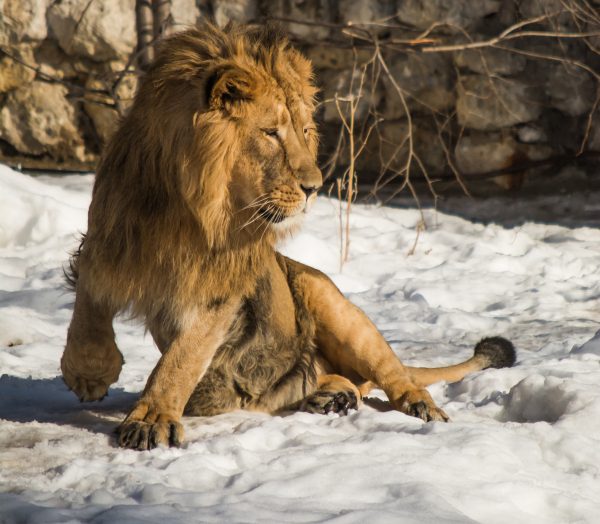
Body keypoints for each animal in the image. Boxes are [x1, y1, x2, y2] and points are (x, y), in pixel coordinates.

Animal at [62, 23, 516, 450]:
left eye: (304, 131)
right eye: (271, 132)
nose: (315, 187)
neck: (184, 208)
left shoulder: (218, 285)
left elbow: (180, 360)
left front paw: (150, 419)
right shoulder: (106, 243)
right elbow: (89, 305)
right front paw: (88, 372)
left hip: (335, 306)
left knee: (394, 375)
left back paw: (417, 405)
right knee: (342, 381)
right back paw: (330, 395)